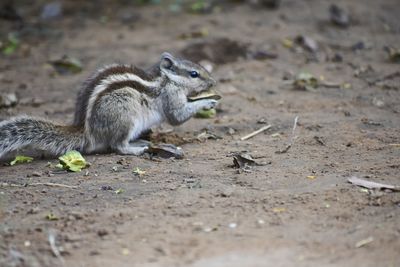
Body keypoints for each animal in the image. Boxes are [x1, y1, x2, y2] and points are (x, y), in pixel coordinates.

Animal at [0, 52, 219, 159]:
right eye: (194, 74)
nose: (213, 82)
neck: (166, 79)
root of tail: (87, 132)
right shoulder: (170, 97)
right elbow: (177, 116)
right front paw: (208, 100)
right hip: (125, 114)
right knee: (117, 146)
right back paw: (136, 149)